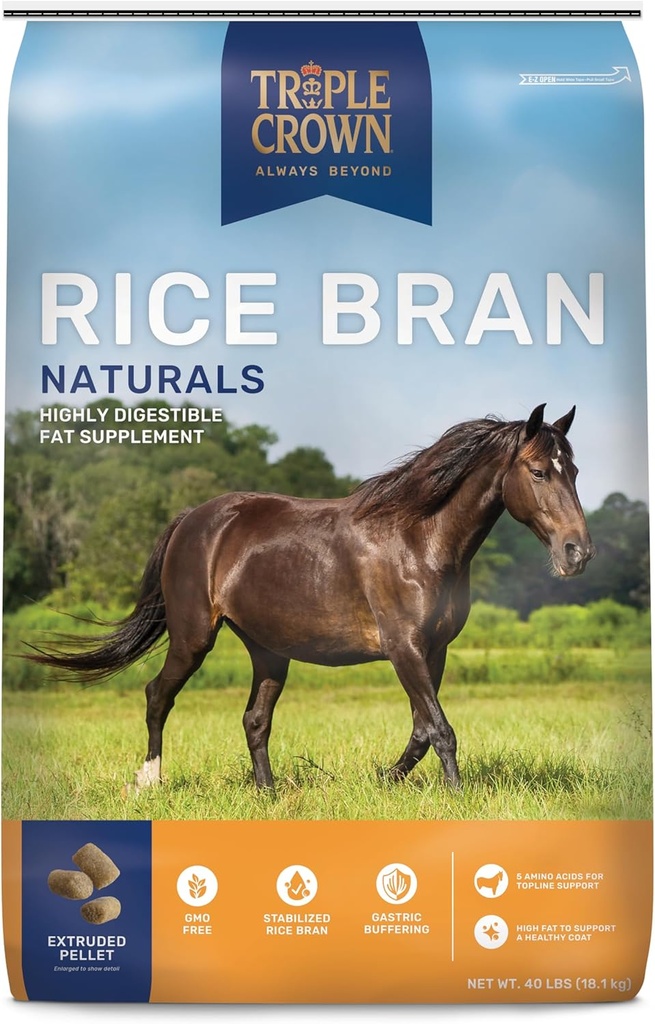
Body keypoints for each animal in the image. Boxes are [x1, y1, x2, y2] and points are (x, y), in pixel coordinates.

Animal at [29, 403, 594, 793]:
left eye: (574, 471)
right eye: (539, 472)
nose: (578, 552)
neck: (420, 539)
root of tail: (192, 518)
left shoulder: (435, 650)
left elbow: (421, 730)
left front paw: (384, 782)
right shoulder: (404, 648)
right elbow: (440, 728)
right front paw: (456, 797)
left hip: (267, 650)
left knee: (255, 720)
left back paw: (268, 794)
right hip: (193, 637)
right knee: (157, 696)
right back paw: (150, 780)